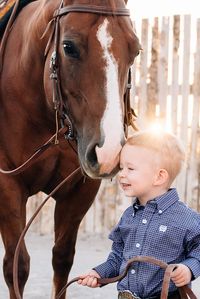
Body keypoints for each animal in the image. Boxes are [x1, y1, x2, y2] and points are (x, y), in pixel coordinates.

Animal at [0, 0, 141, 298]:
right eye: (68, 47)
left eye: (135, 49)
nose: (109, 152)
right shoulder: (7, 186)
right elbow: (16, 266)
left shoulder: (80, 189)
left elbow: (62, 259)